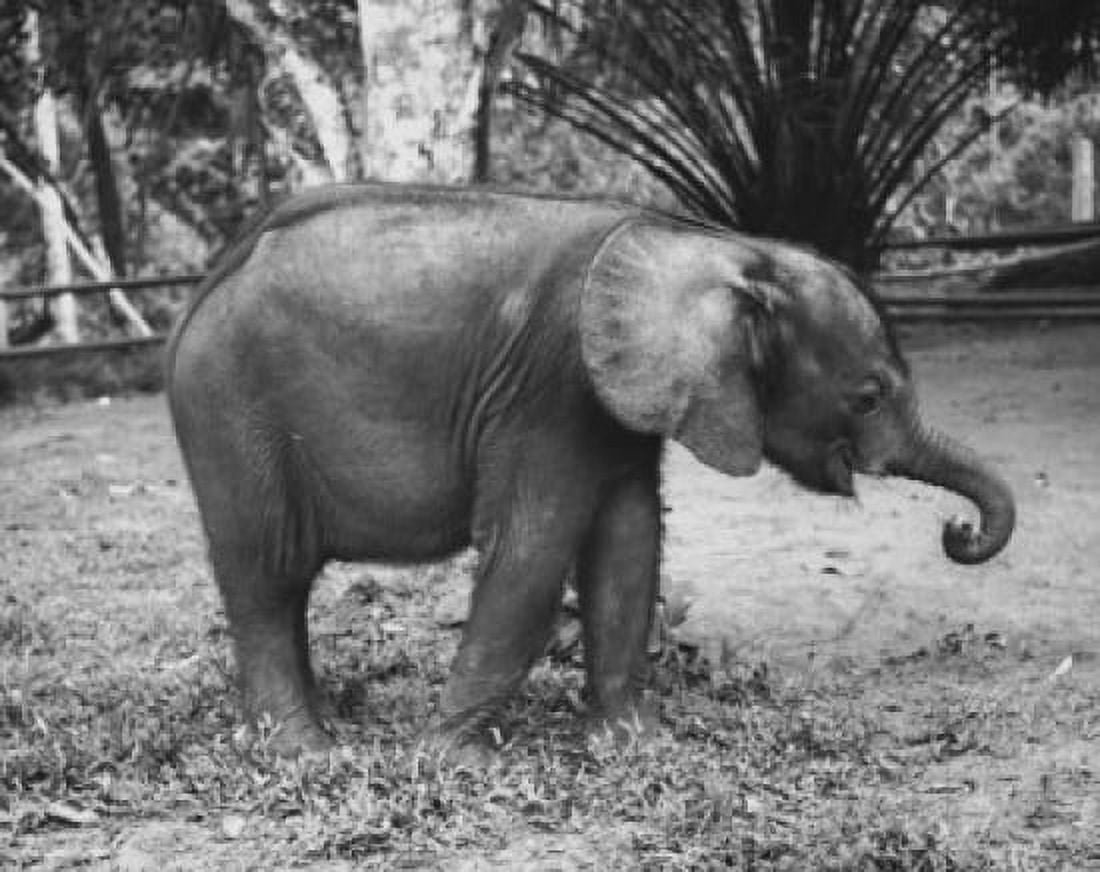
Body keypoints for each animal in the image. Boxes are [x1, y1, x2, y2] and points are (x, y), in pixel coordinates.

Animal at [166, 182, 1015, 753]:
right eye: (867, 398)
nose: (956, 531)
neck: (724, 246)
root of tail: (208, 283)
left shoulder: (617, 404)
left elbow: (627, 548)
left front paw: (635, 745)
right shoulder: (552, 390)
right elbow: (530, 555)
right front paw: (450, 759)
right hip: (230, 409)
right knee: (270, 577)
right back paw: (306, 753)